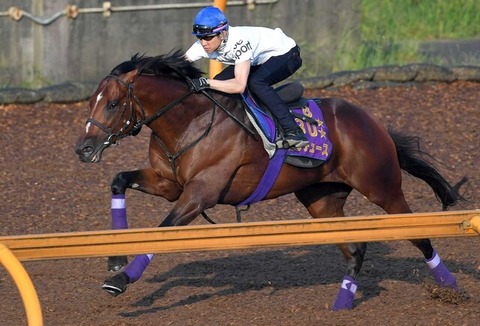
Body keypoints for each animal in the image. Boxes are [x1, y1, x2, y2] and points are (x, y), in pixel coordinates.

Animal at [74, 51, 464, 310]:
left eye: (112, 104)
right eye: (92, 101)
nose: (84, 148)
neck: (189, 122)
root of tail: (374, 122)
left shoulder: (199, 194)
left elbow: (164, 231)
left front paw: (120, 279)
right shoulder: (169, 185)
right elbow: (118, 181)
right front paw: (114, 260)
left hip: (383, 188)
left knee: (419, 234)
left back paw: (451, 287)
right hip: (321, 200)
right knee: (355, 248)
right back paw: (342, 302)